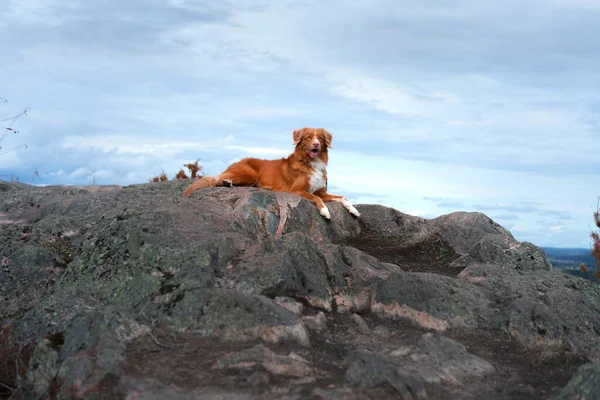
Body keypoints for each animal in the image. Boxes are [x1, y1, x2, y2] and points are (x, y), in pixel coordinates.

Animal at [183, 127, 358, 219]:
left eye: (320, 139)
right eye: (308, 137)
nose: (316, 144)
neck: (311, 163)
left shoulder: (322, 192)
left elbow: (343, 197)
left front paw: (353, 210)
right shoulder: (297, 190)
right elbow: (316, 198)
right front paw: (325, 211)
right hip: (250, 174)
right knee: (217, 178)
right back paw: (227, 181)